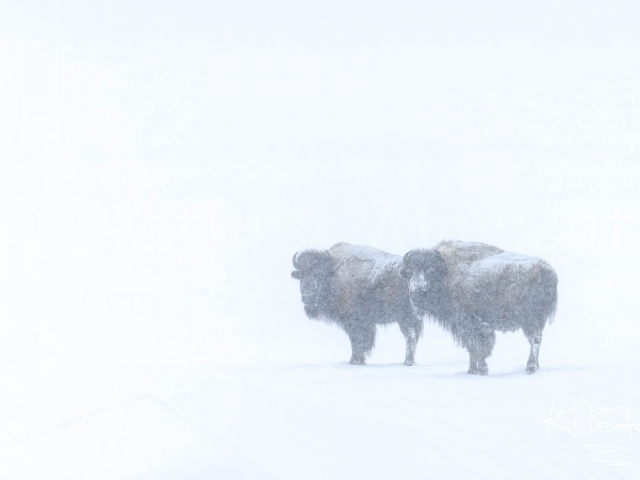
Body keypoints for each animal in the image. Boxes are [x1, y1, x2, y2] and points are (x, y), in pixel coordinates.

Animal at [291, 242, 422, 365]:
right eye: (301, 275)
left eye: (320, 274)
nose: (308, 296)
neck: (334, 271)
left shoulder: (354, 322)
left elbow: (356, 340)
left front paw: (355, 361)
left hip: (405, 318)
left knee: (410, 337)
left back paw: (408, 362)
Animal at [400, 241, 558, 375]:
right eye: (410, 272)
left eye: (430, 270)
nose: (417, 291)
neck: (448, 272)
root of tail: (546, 269)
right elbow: (473, 348)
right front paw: (472, 370)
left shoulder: (471, 324)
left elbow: (478, 346)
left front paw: (481, 369)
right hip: (536, 321)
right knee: (537, 340)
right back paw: (536, 366)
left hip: (531, 320)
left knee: (535, 340)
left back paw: (530, 368)